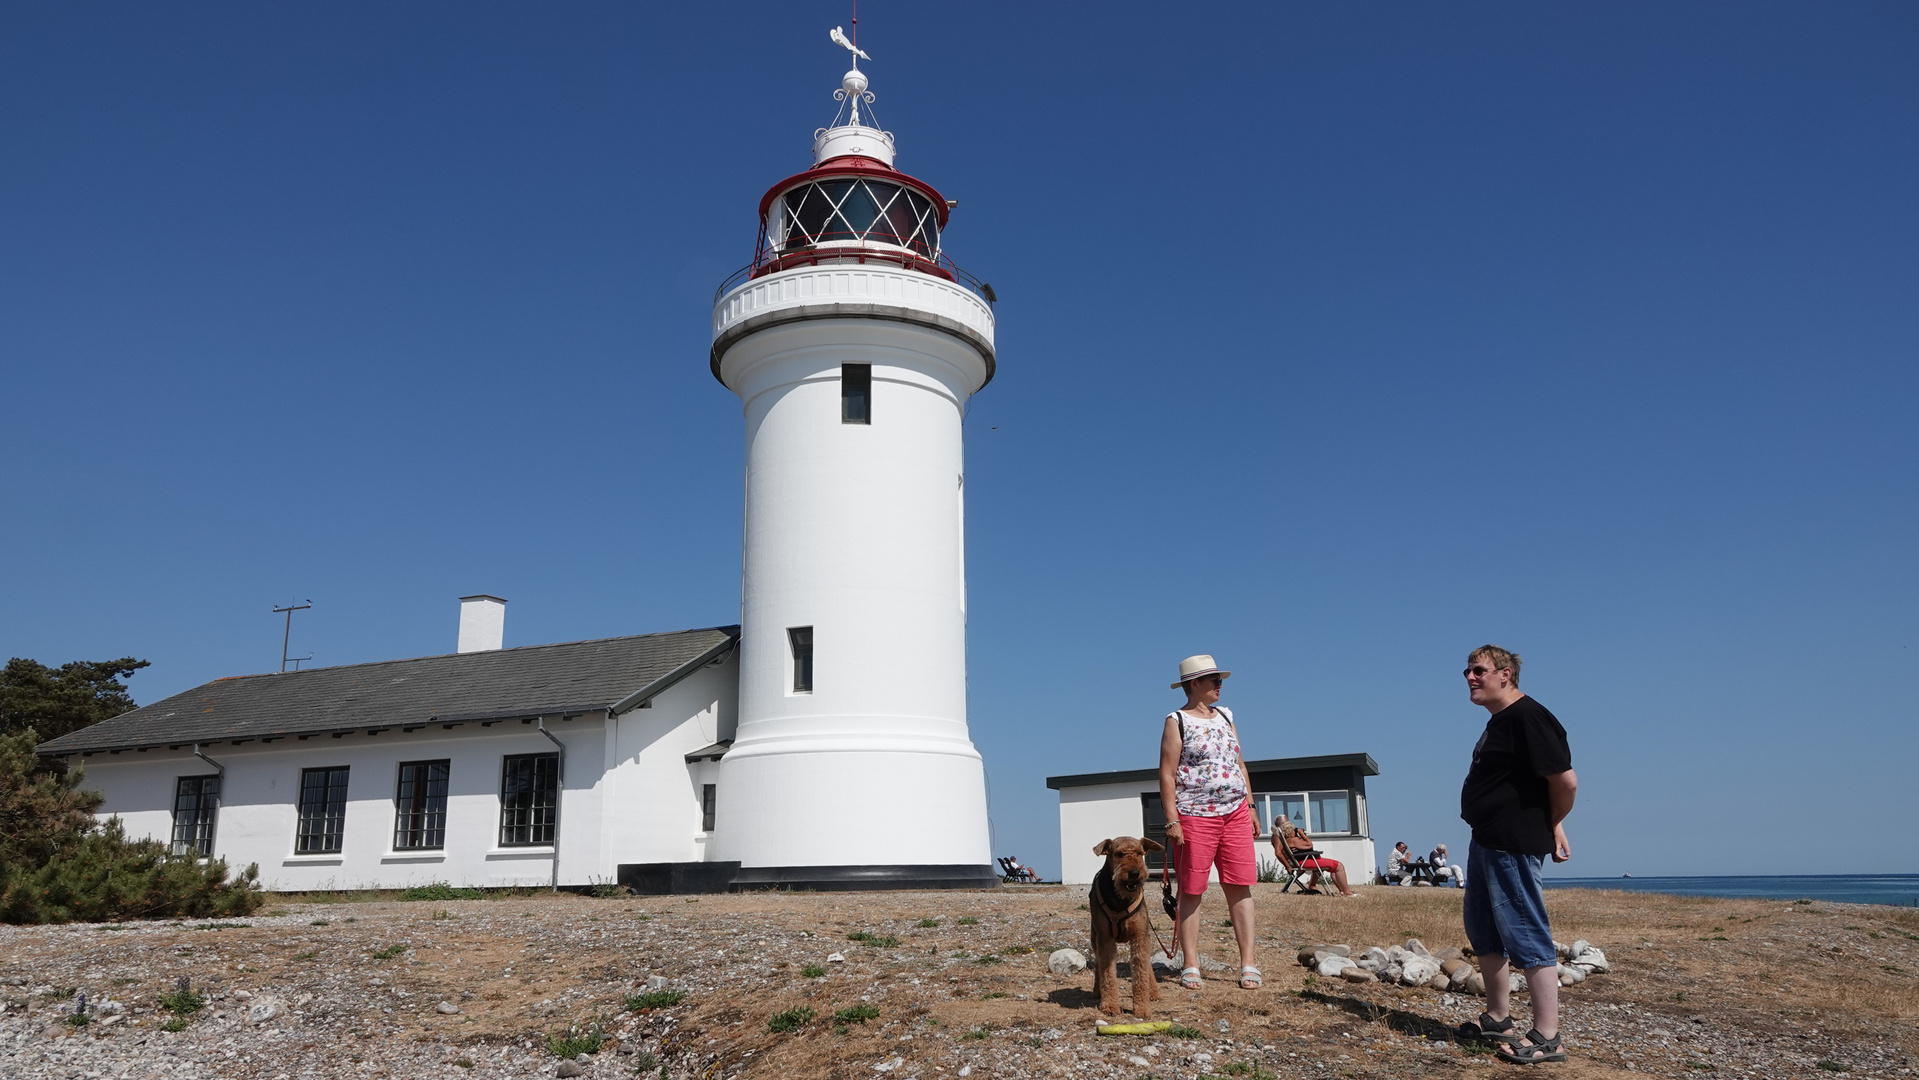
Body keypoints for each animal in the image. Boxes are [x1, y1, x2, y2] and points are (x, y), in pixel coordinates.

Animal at [1089, 836, 1159, 1020]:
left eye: (1140, 853)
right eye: (1119, 854)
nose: (1134, 873)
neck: (1120, 899)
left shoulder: (1139, 937)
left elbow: (1141, 972)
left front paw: (1142, 1008)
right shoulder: (1105, 939)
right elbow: (1108, 974)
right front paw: (1110, 1006)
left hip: (1146, 936)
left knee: (1148, 966)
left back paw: (1153, 992)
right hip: (1094, 937)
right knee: (1098, 963)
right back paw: (1097, 990)